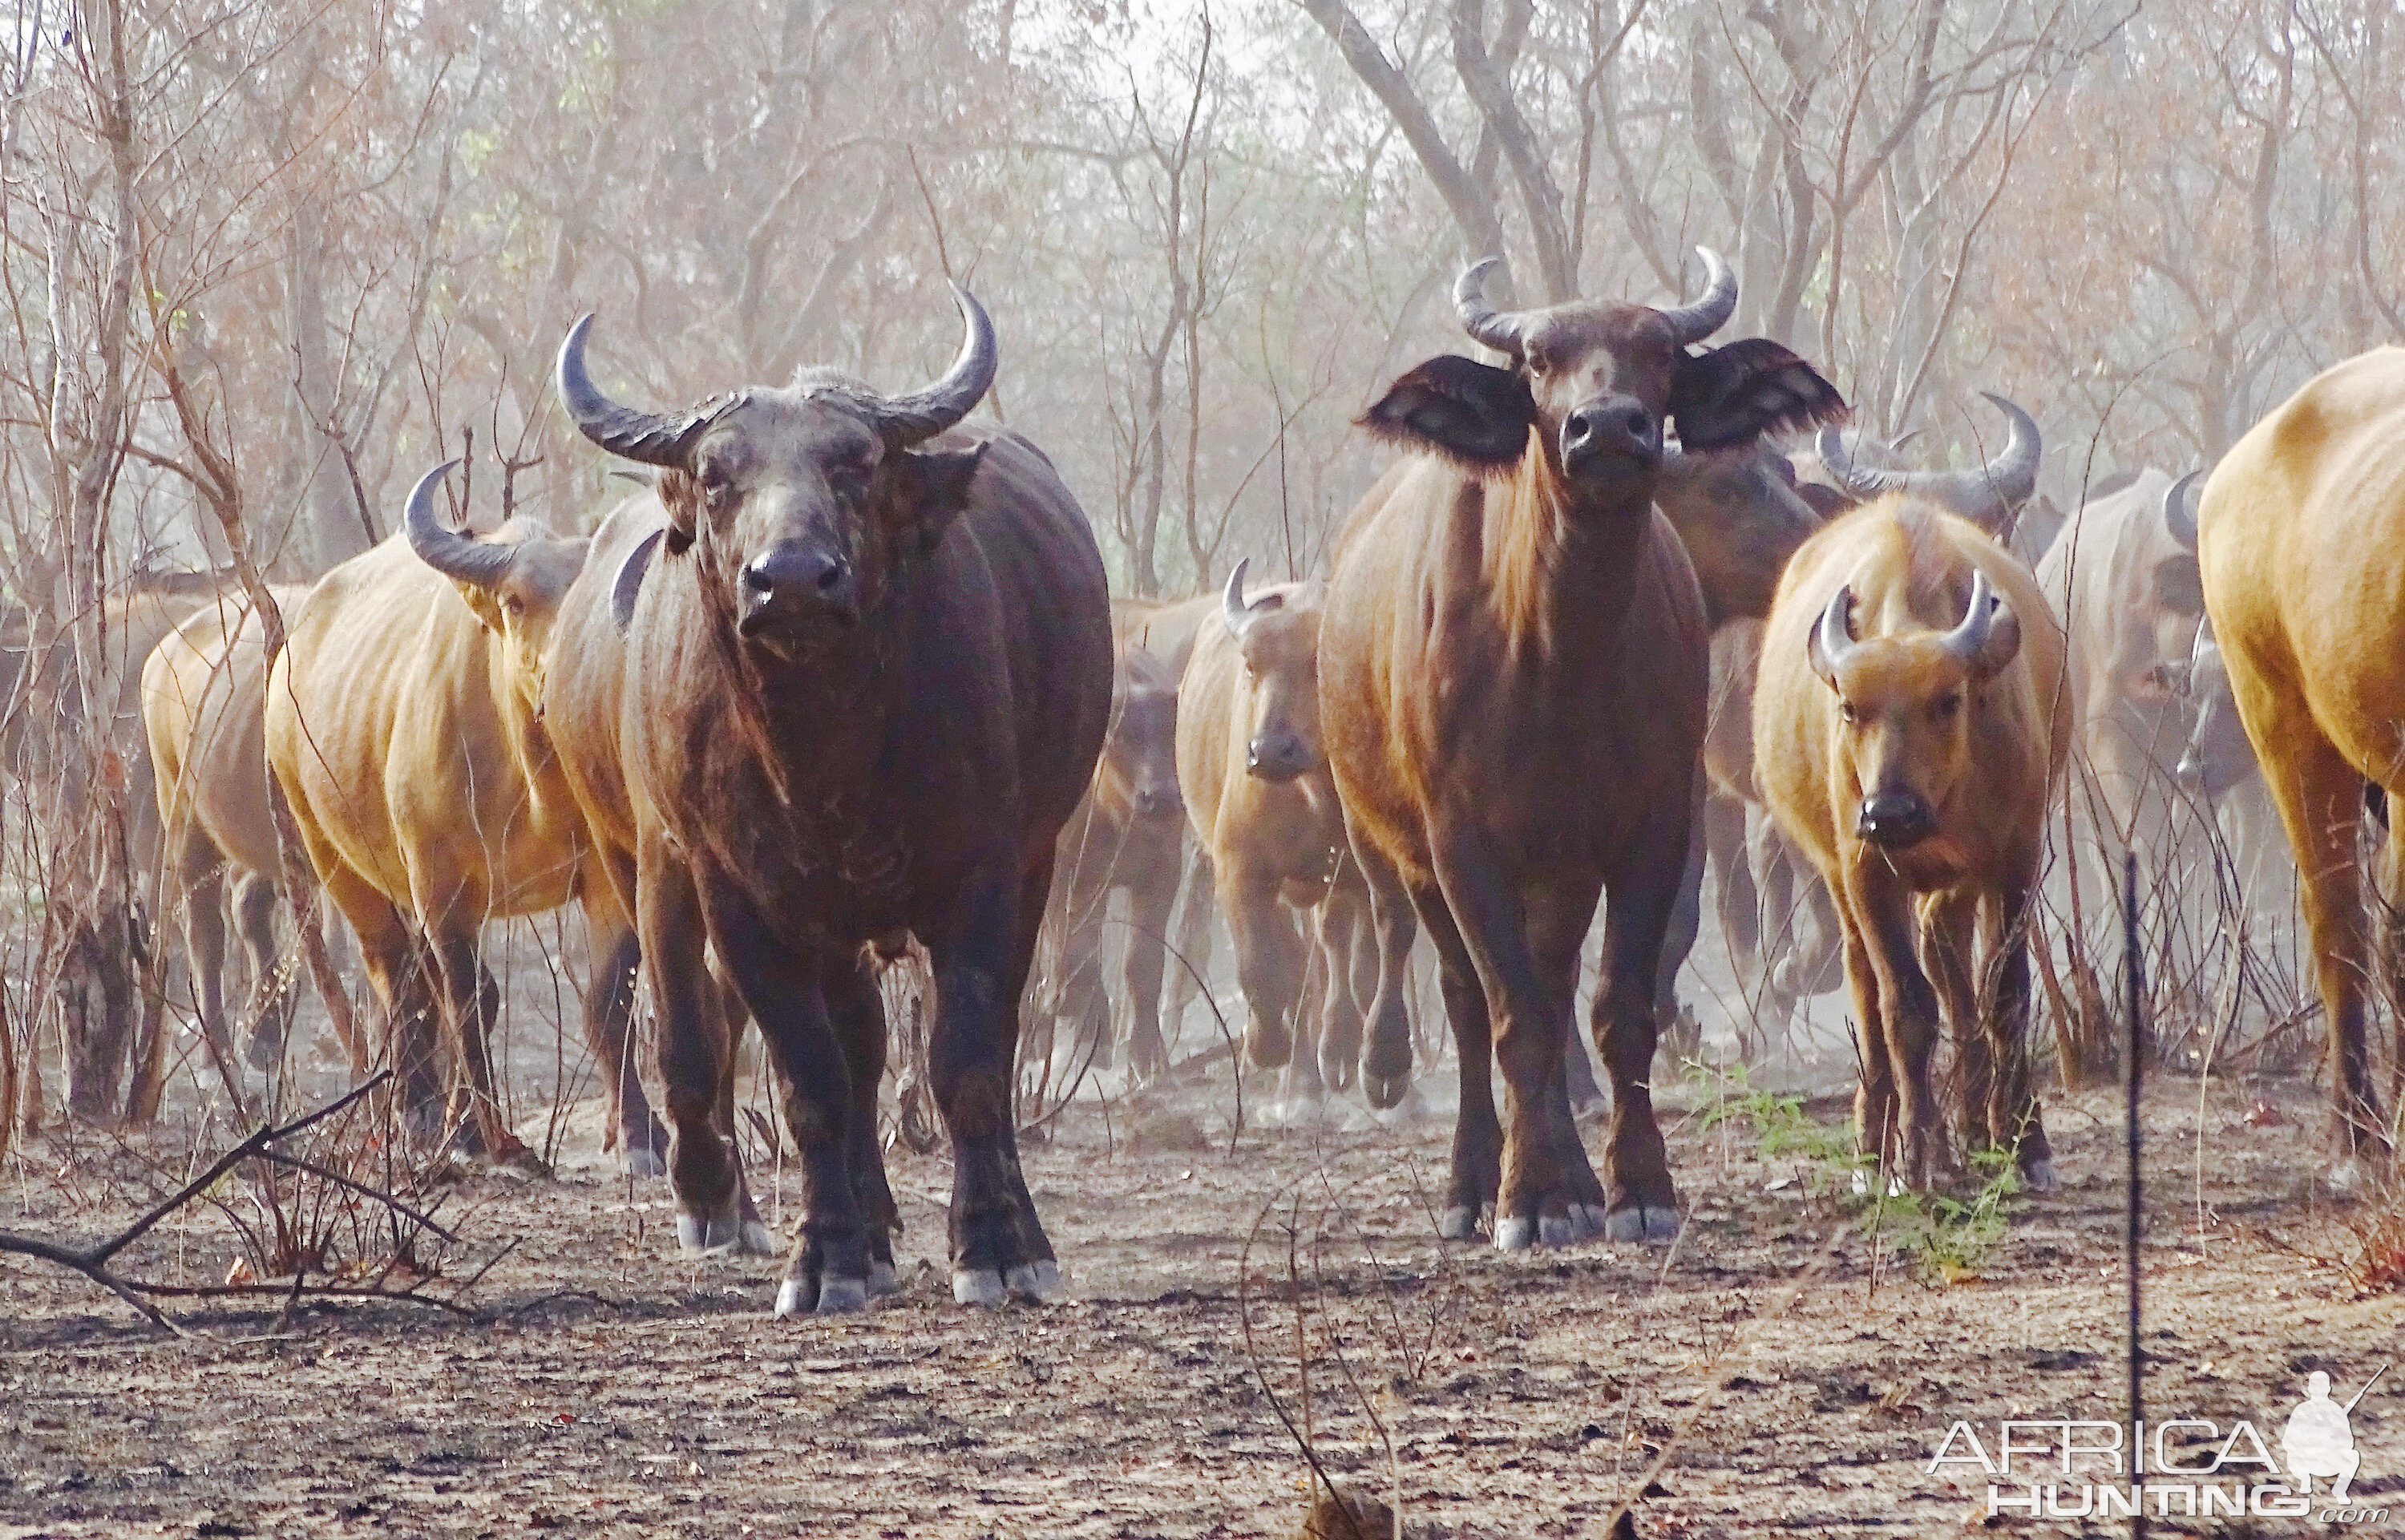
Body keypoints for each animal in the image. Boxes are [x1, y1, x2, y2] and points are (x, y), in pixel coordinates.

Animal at [551, 291, 1111, 1308]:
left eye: (854, 464)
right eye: (716, 474)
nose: (793, 578)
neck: (824, 758)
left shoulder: (986, 876)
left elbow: (969, 1062)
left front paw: (994, 1245)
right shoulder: (740, 898)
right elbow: (810, 1077)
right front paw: (826, 1256)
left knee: (972, 1045)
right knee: (853, 1049)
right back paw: (865, 1227)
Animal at [1751, 500, 2068, 1183]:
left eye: (1948, 700)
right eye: (1849, 707)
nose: (1888, 812)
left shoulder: (2015, 857)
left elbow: (2006, 994)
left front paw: (2026, 1142)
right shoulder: (1868, 871)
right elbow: (1907, 1008)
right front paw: (1915, 1155)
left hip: (1959, 880)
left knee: (1950, 957)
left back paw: (1974, 1127)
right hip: (1841, 882)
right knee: (1870, 989)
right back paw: (1878, 1146)